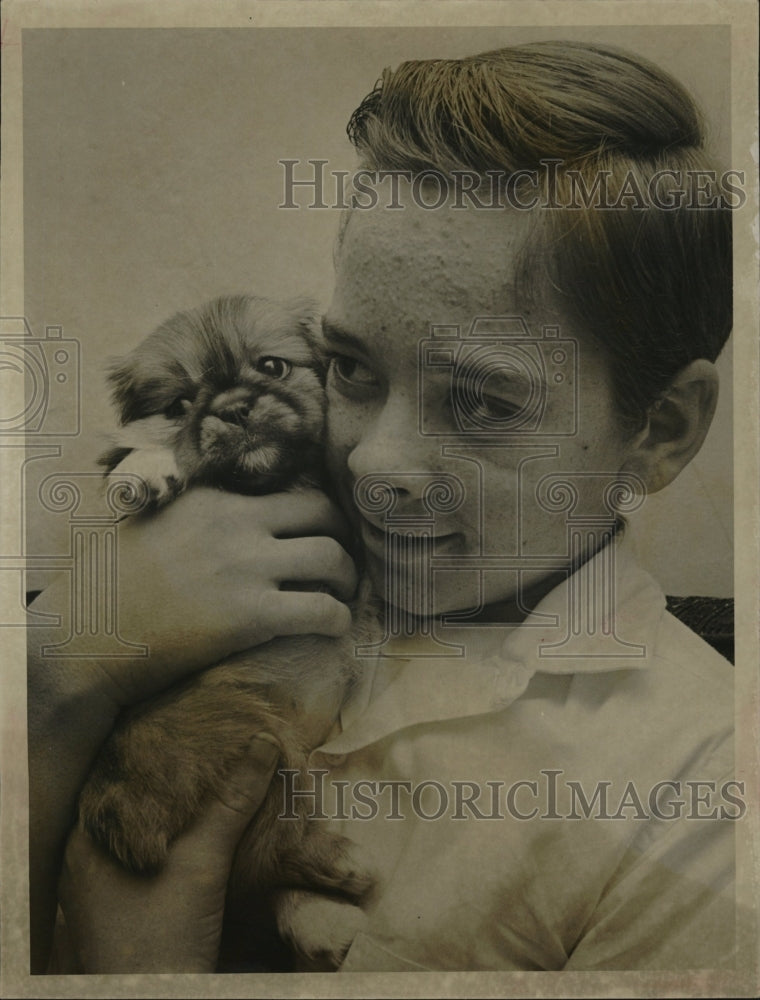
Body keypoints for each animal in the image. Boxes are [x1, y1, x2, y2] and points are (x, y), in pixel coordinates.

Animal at [77, 294, 380, 968]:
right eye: (180, 404)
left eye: (272, 366)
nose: (235, 408)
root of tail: (119, 811)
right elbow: (144, 454)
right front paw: (148, 468)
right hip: (259, 737)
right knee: (266, 853)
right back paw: (334, 885)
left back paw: (324, 918)